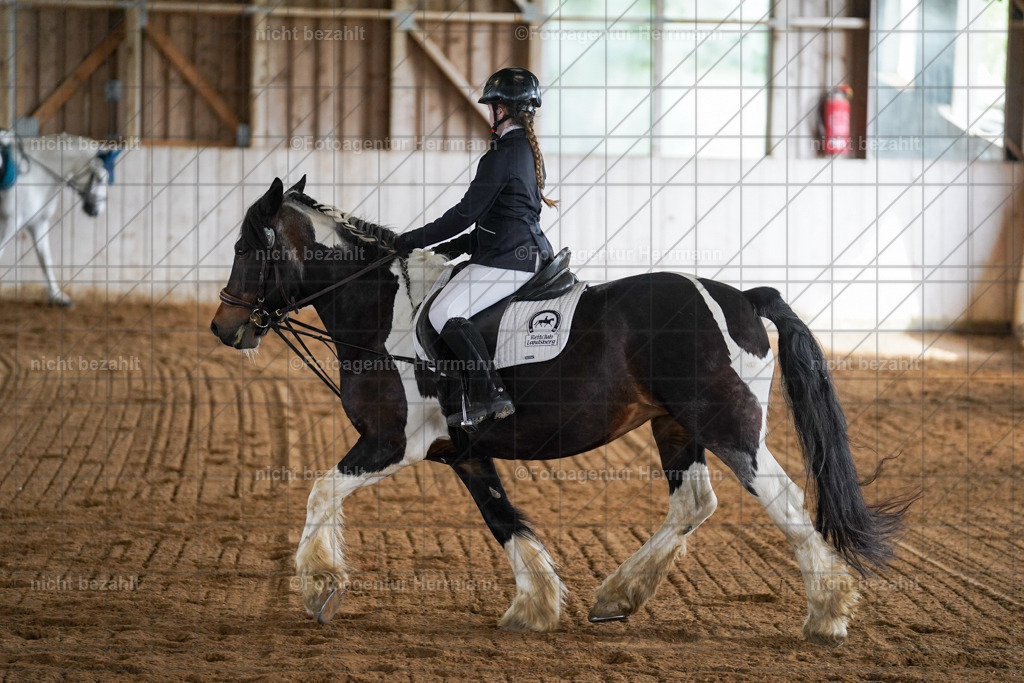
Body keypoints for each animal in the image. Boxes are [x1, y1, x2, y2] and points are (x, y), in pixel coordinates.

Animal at [0, 132, 114, 306]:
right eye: (100, 178)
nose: (95, 211)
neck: (35, 177)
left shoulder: (38, 223)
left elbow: (45, 258)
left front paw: (57, 296)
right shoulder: (9, 223)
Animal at [210, 177, 910, 645]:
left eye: (247, 247)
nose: (224, 328)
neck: (383, 313)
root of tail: (741, 297)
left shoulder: (392, 442)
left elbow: (321, 489)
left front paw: (320, 587)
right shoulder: (462, 453)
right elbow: (504, 521)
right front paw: (537, 606)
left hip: (729, 425)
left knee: (783, 500)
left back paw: (828, 613)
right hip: (675, 425)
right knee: (694, 502)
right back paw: (619, 596)